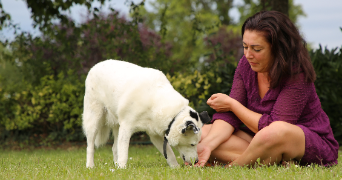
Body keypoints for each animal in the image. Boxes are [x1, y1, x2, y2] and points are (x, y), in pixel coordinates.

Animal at [83, 59, 211, 168]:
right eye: (193, 144)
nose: (197, 161)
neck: (155, 101)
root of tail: (96, 65)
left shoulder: (155, 135)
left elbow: (169, 154)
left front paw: (175, 168)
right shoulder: (126, 127)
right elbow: (124, 152)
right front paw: (122, 169)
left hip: (116, 124)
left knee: (114, 147)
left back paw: (115, 165)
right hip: (94, 118)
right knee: (90, 146)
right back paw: (90, 166)